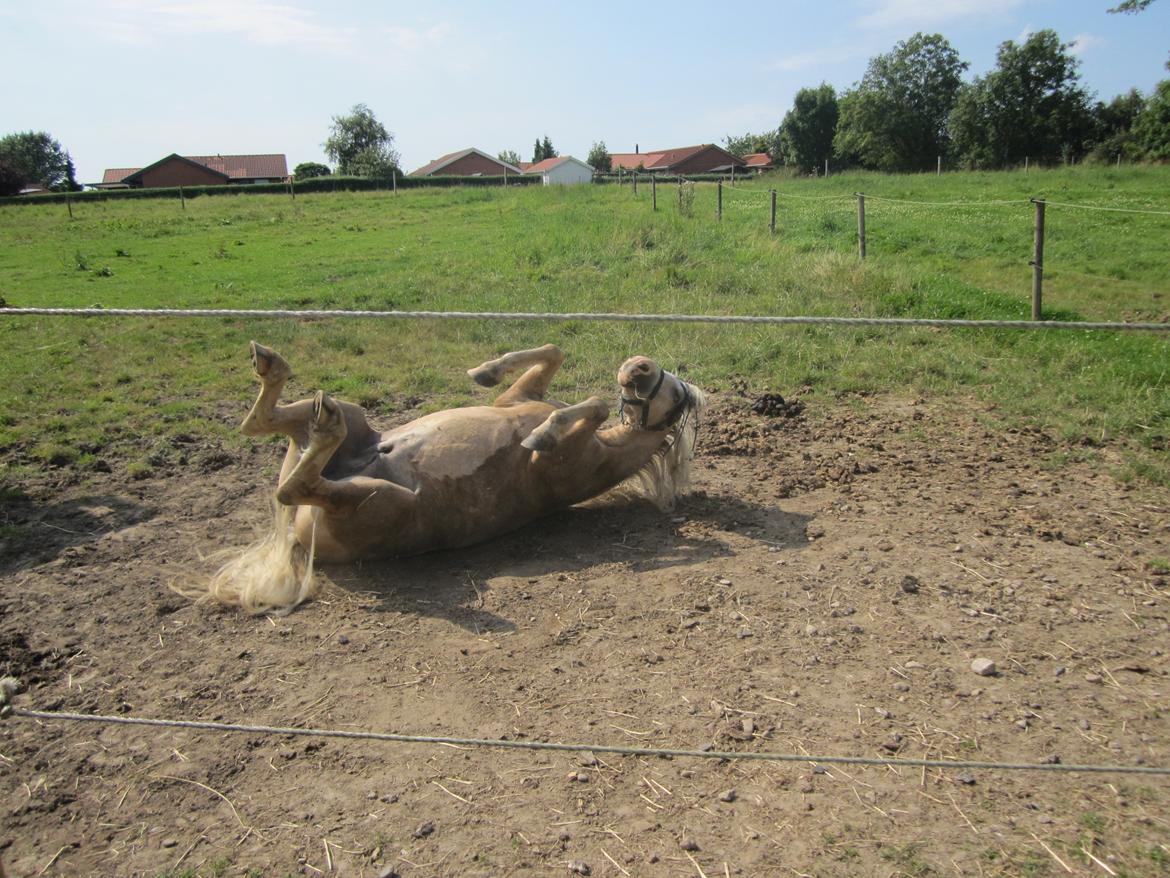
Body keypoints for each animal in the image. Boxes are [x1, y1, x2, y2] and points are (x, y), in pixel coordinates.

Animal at [206, 341, 705, 614]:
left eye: (676, 391)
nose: (638, 366)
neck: (603, 451)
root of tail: (298, 540)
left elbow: (595, 405)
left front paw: (542, 434)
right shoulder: (517, 398)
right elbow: (552, 355)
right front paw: (483, 371)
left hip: (376, 498)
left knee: (292, 487)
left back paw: (319, 420)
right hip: (350, 421)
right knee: (264, 425)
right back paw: (275, 368)